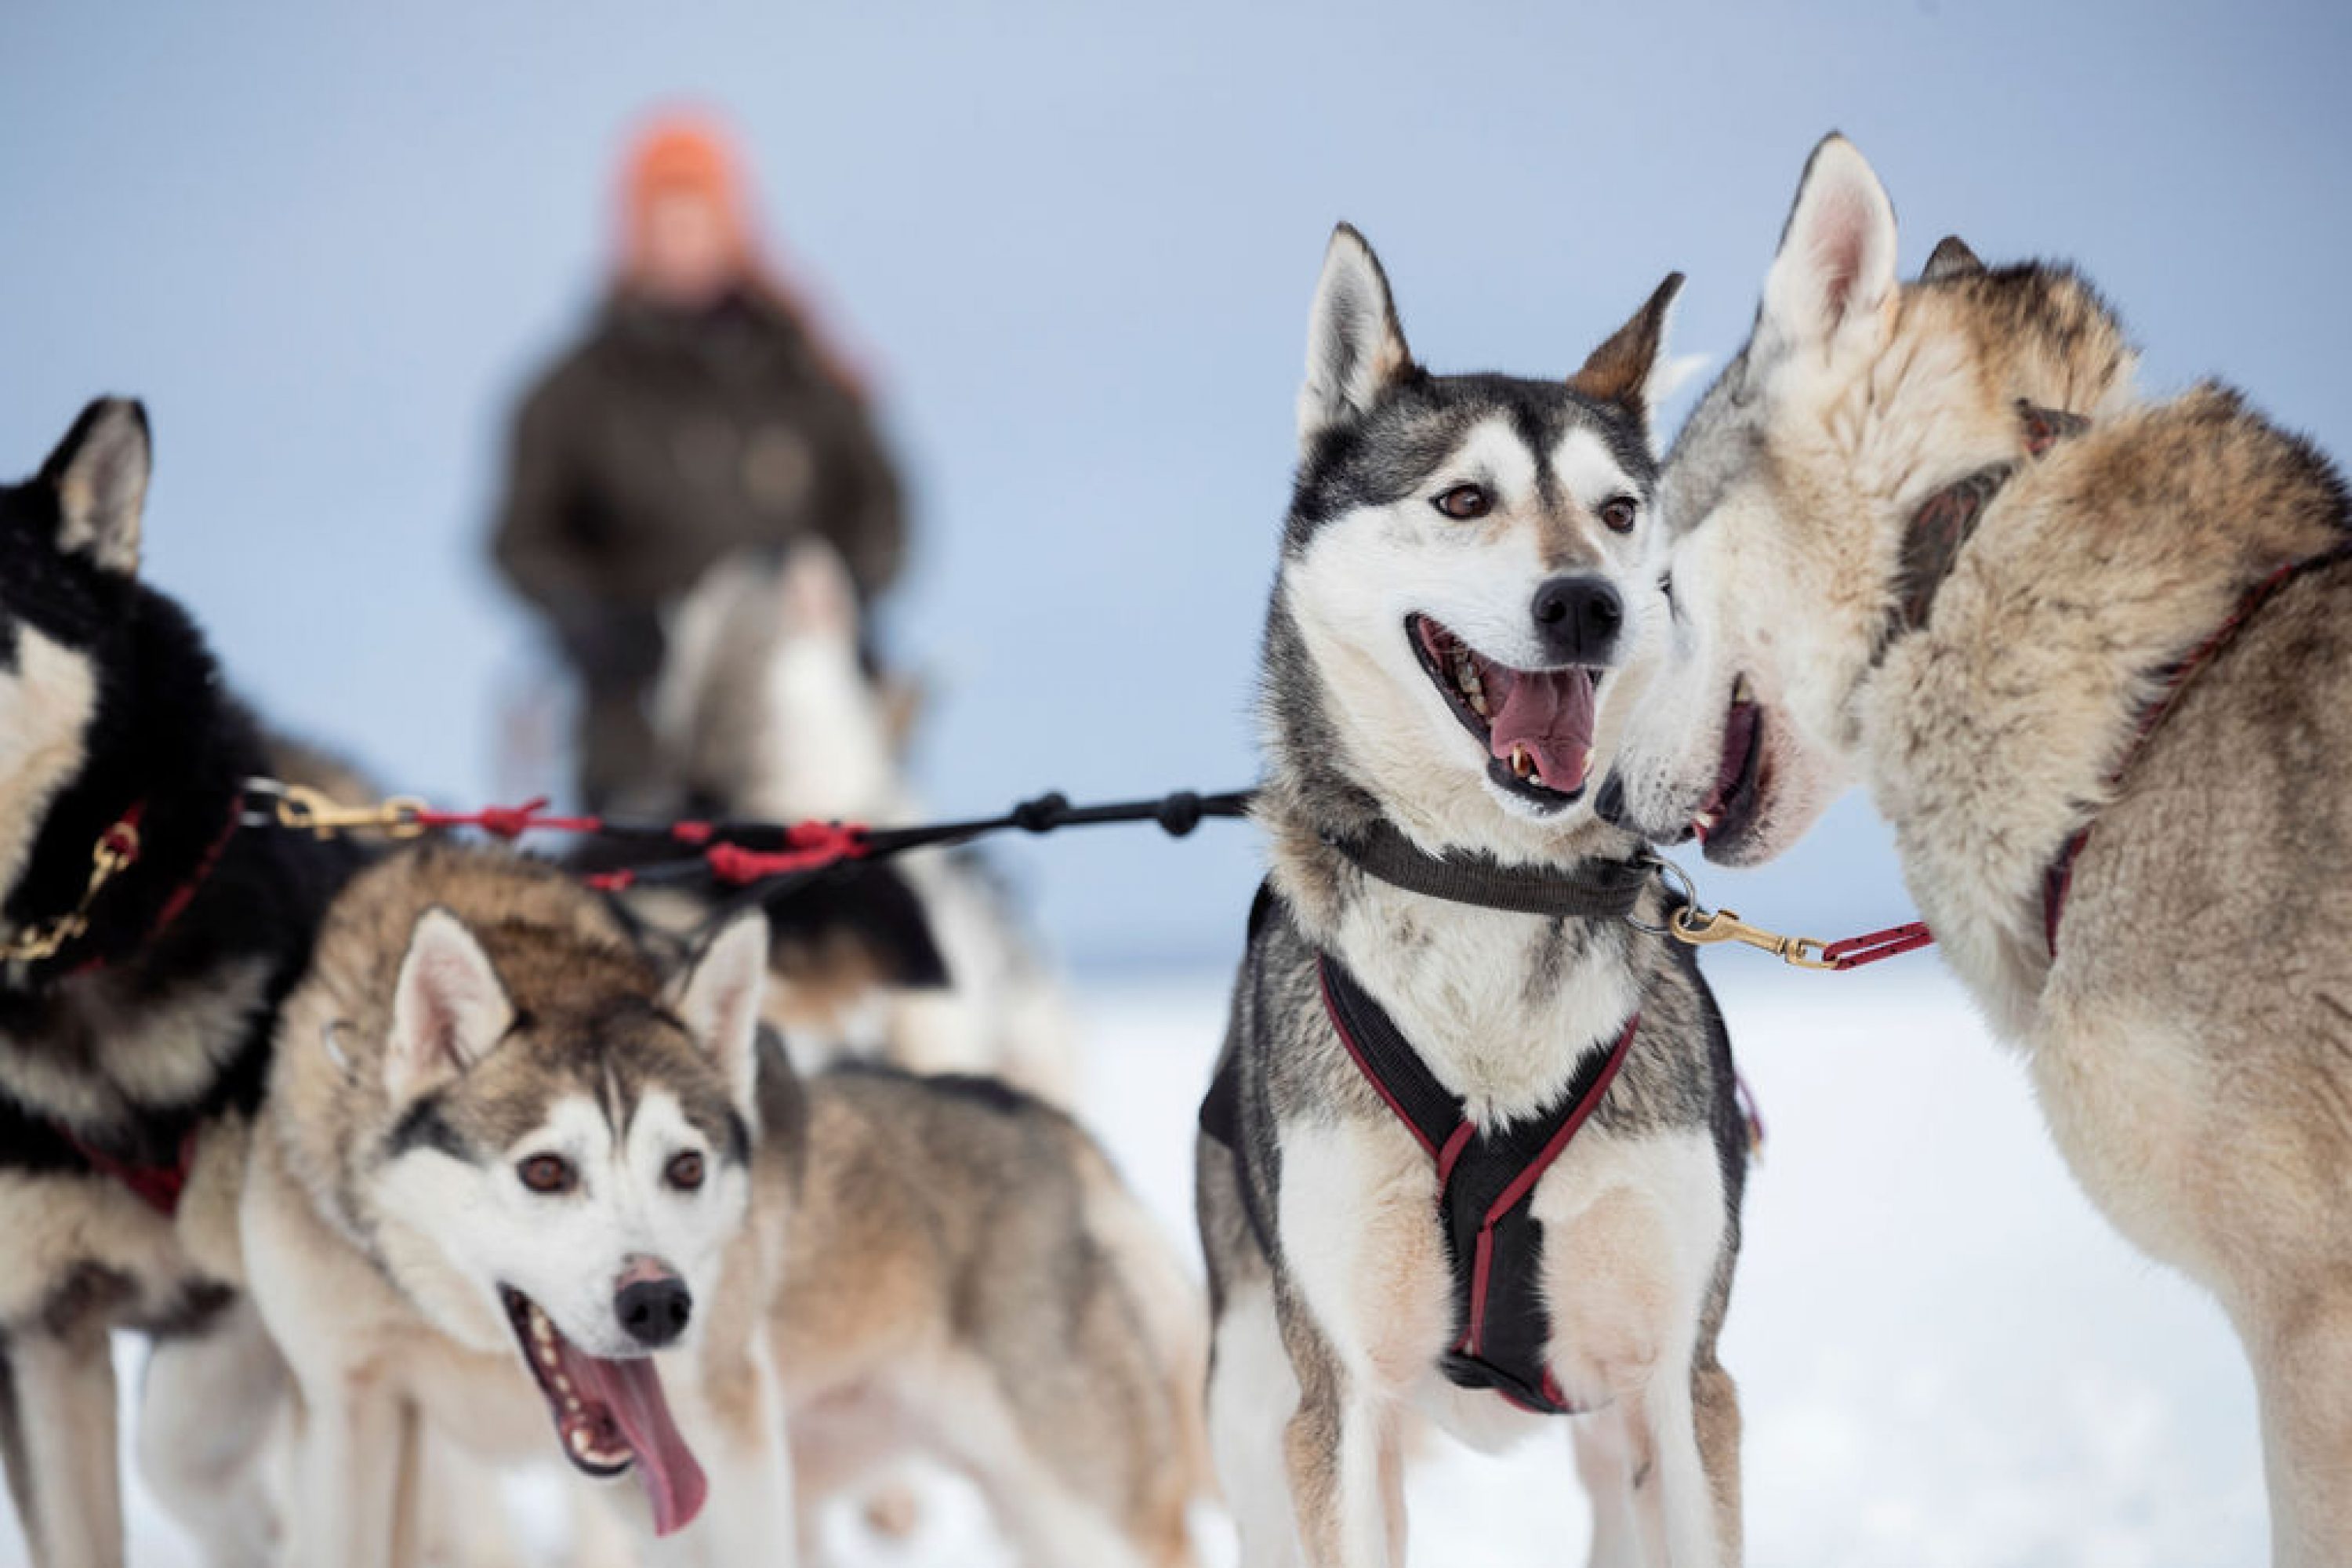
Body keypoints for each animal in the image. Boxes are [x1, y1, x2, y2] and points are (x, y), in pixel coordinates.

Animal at [245, 846, 1214, 1568]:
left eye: (685, 1167)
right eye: (546, 1170)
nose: (657, 1303)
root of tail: (1058, 1130)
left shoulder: (725, 1427)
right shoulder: (344, 1416)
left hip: (1083, 1508)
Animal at [1204, 223, 1759, 1568]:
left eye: (1619, 513)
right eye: (1463, 499)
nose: (1586, 603)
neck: (1487, 887)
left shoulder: (1686, 1380)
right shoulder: (1339, 1403)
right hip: (1252, 1413)